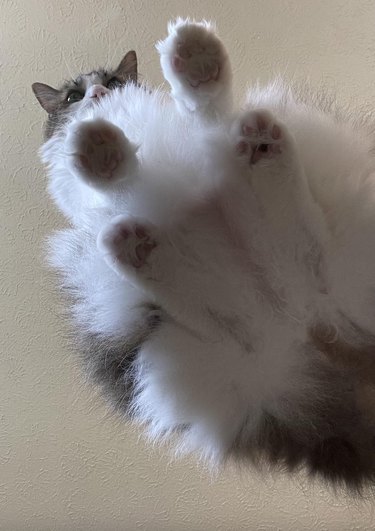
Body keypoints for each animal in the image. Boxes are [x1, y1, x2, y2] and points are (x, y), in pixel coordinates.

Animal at [36, 20, 375, 494]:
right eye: (72, 96)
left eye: (116, 81)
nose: (100, 94)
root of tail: (306, 324)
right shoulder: (93, 205)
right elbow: (121, 185)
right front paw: (102, 151)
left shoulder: (199, 142)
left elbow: (208, 119)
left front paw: (197, 64)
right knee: (228, 311)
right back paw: (139, 245)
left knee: (299, 245)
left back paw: (258, 146)